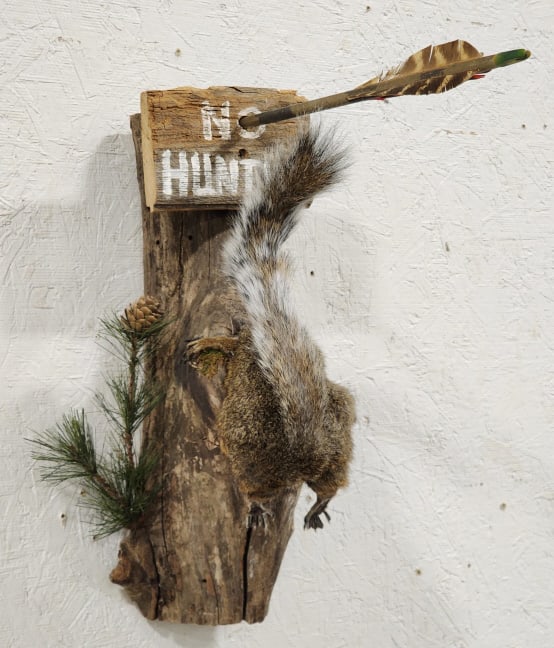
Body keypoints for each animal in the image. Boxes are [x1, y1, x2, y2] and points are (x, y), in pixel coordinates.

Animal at [187, 126, 356, 530]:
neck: (251, 337)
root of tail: (303, 454)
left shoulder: (237, 346)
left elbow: (222, 343)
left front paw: (202, 346)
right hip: (338, 446)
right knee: (331, 483)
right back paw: (318, 504)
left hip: (246, 458)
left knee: (258, 490)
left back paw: (257, 508)